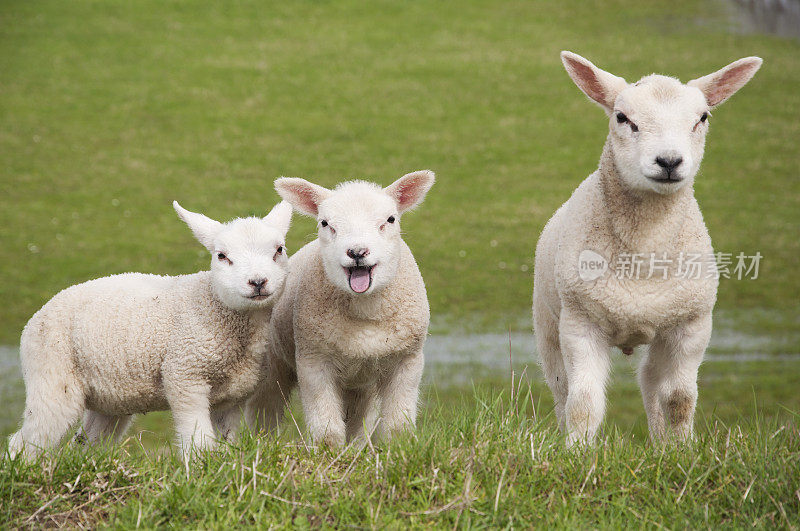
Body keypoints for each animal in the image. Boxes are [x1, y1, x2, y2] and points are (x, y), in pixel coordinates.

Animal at [7, 202, 292, 460]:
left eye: (279, 250)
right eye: (221, 255)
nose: (258, 282)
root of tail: (37, 316)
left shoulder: (232, 398)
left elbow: (225, 443)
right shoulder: (184, 376)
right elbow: (198, 442)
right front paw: (199, 470)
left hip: (109, 398)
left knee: (87, 443)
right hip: (52, 376)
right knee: (26, 441)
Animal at [532, 52, 764, 446]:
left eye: (702, 118)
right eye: (622, 118)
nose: (669, 162)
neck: (644, 256)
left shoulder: (692, 324)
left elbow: (679, 399)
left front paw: (681, 451)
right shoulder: (580, 323)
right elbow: (583, 402)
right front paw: (577, 452)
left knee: (651, 382)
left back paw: (662, 444)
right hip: (547, 322)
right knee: (561, 390)